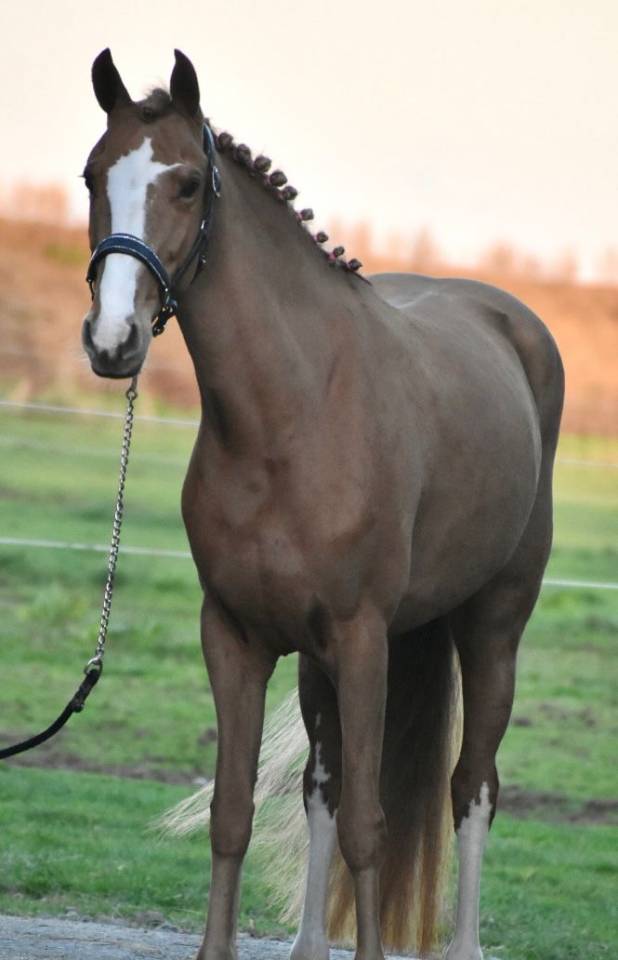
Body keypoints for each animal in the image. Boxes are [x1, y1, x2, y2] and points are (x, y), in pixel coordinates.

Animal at [81, 49, 564, 960]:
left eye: (188, 184)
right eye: (94, 176)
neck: (291, 415)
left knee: (472, 787)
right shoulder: (236, 637)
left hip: (492, 627)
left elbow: (372, 828)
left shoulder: (364, 638)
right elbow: (237, 813)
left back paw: (466, 942)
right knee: (322, 786)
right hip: (319, 658)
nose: (111, 340)